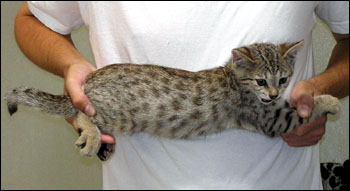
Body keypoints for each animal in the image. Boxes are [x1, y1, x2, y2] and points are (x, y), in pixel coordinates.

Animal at [4, 41, 340, 160]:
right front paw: (329, 101)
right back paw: (91, 134)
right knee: (84, 113)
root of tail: (90, 80)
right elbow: (300, 111)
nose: (273, 94)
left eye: (283, 79)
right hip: (116, 114)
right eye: (261, 81)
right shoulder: (269, 118)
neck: (233, 78)